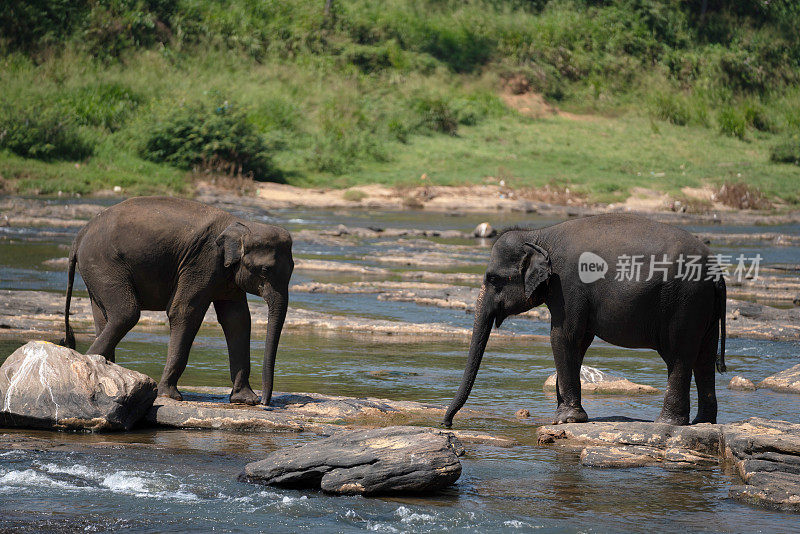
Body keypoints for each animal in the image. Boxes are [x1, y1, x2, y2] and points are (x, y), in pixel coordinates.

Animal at [61, 197, 294, 406]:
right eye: (265, 270)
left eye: (292, 270)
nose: (265, 402)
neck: (242, 224)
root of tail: (79, 236)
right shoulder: (203, 262)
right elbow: (184, 311)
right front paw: (170, 395)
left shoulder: (227, 275)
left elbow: (237, 320)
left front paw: (245, 400)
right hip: (103, 263)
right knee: (126, 314)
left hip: (96, 270)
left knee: (104, 317)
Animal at [440, 216, 728, 430]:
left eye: (493, 279)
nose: (446, 423)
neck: (539, 235)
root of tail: (718, 275)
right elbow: (578, 343)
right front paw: (562, 415)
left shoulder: (568, 285)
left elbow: (562, 336)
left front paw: (566, 420)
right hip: (703, 309)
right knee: (704, 358)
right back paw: (702, 422)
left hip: (684, 303)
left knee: (679, 357)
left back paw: (667, 423)